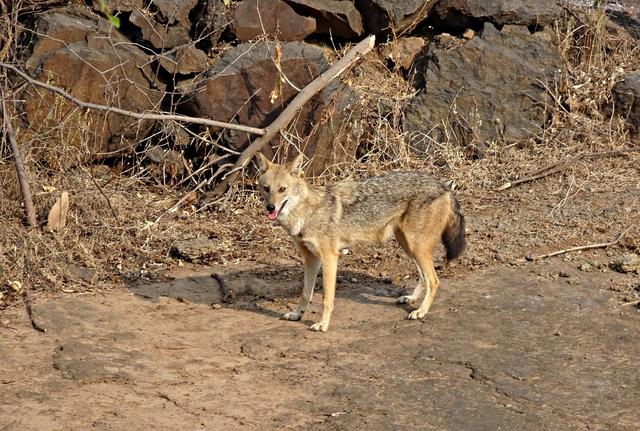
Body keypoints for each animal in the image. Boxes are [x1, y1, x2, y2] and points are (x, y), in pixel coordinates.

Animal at [256, 153, 465, 332]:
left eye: (282, 189)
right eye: (266, 189)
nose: (270, 207)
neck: (307, 213)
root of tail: (444, 185)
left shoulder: (329, 258)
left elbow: (326, 298)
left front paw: (323, 324)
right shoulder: (311, 260)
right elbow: (306, 293)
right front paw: (297, 314)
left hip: (416, 247)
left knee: (434, 281)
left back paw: (421, 311)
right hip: (408, 245)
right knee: (423, 276)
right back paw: (411, 299)